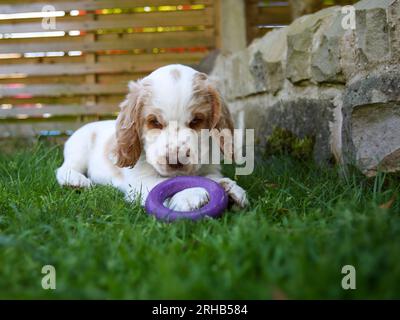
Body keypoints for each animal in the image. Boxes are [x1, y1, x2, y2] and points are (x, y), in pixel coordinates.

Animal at [57, 63, 247, 211]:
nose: (175, 159)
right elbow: (163, 185)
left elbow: (210, 177)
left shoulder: (209, 167)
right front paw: (190, 194)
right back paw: (77, 181)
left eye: (196, 120)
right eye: (154, 122)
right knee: (64, 169)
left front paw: (231, 188)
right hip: (79, 149)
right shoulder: (140, 181)